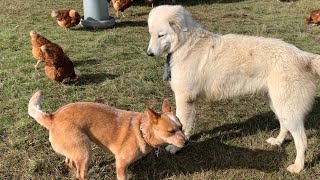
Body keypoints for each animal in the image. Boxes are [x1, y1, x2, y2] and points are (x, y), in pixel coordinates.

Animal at [28, 91, 188, 180]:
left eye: (181, 127)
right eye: (171, 131)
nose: (186, 142)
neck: (142, 130)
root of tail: (52, 117)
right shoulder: (121, 163)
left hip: (77, 149)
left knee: (70, 162)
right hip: (85, 151)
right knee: (81, 174)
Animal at [146, 4, 320, 173]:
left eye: (161, 35)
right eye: (151, 34)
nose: (149, 53)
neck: (185, 43)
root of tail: (304, 56)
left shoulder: (185, 98)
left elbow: (182, 123)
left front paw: (176, 147)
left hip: (288, 109)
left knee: (302, 140)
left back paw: (298, 167)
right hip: (278, 104)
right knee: (284, 127)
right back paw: (277, 142)